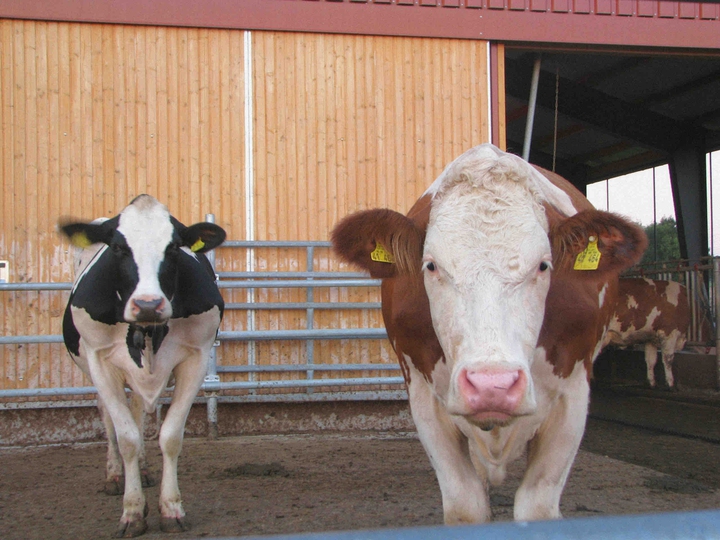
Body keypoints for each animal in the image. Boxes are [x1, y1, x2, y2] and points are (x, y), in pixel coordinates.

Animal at [60, 195, 226, 537]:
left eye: (173, 247)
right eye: (117, 247)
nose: (148, 304)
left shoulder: (197, 357)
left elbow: (170, 436)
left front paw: (171, 509)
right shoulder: (99, 361)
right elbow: (126, 438)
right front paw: (132, 512)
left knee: (138, 412)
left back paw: (146, 471)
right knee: (109, 418)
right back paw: (114, 475)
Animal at [331, 144, 646, 524]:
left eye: (543, 265)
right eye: (431, 265)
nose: (491, 385)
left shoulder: (572, 395)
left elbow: (536, 507)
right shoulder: (423, 396)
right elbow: (466, 506)